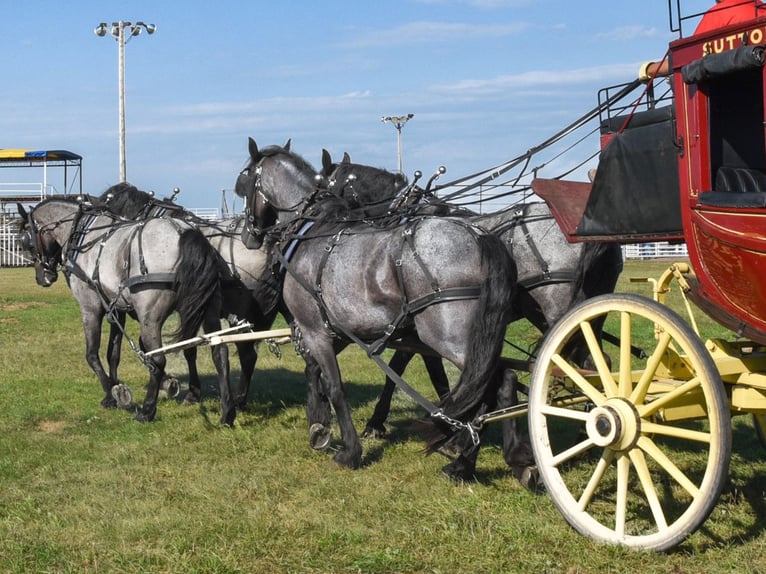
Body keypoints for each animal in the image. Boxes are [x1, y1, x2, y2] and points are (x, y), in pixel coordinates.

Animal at [17, 197, 235, 424]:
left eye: (25, 241)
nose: (43, 278)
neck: (82, 235)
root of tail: (183, 232)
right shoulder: (117, 309)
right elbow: (113, 353)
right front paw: (121, 386)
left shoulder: (90, 308)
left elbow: (92, 354)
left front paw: (112, 393)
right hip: (206, 310)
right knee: (218, 351)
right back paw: (227, 411)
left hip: (150, 318)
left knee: (158, 359)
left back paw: (147, 411)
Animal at [234, 138, 529, 482]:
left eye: (244, 183)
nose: (247, 237)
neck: (310, 229)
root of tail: (479, 235)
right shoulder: (341, 328)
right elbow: (318, 372)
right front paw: (320, 425)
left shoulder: (314, 329)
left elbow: (335, 386)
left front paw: (349, 450)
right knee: (500, 381)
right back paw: (499, 458)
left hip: (451, 338)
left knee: (492, 382)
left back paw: (469, 461)